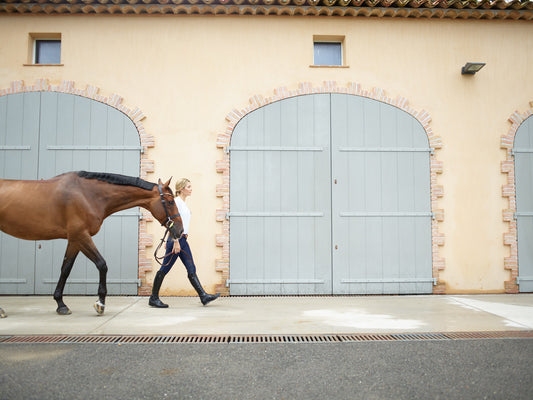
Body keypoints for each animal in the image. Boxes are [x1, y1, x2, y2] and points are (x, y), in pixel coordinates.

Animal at [0, 171, 183, 316]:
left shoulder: (74, 240)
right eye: (171, 202)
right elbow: (102, 264)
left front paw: (61, 304)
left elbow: (65, 269)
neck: (87, 194)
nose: (180, 230)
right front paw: (100, 303)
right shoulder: (81, 236)